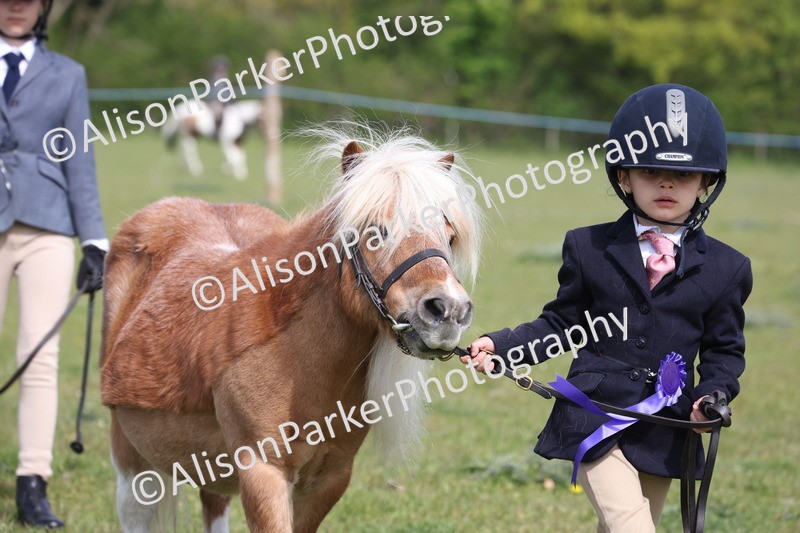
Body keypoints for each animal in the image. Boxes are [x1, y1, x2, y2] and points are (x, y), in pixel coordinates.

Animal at [100, 125, 484, 532]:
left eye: (449, 235)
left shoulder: (329, 480)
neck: (292, 359)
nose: (448, 311)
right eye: (376, 232)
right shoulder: (263, 475)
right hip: (130, 458)